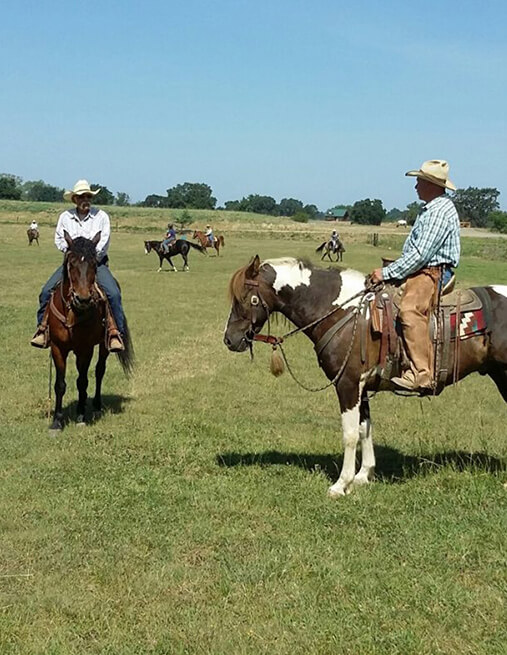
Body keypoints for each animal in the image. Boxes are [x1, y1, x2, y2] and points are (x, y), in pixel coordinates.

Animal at [47, 233, 134, 434]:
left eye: (94, 263)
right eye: (71, 263)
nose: (83, 298)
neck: (72, 313)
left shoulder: (85, 349)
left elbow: (82, 381)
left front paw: (80, 416)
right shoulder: (57, 348)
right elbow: (60, 384)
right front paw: (57, 421)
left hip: (104, 344)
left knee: (100, 370)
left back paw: (96, 405)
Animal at [225, 256, 507, 498]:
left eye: (247, 299)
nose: (229, 339)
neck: (343, 311)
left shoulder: (347, 384)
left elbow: (349, 434)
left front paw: (341, 484)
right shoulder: (361, 386)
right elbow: (364, 428)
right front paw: (364, 475)